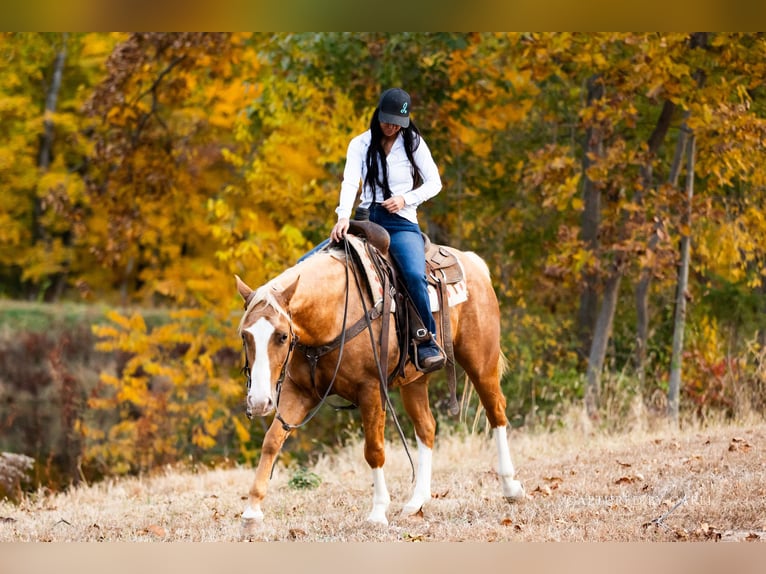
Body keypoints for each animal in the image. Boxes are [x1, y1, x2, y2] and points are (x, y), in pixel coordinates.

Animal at [235, 236, 525, 528]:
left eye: (282, 336)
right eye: (245, 335)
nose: (258, 401)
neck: (333, 313)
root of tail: (472, 262)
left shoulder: (371, 390)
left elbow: (374, 449)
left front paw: (377, 512)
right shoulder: (300, 392)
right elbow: (272, 440)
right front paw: (252, 511)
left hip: (481, 362)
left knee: (496, 412)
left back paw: (511, 488)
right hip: (414, 382)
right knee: (427, 428)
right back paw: (416, 502)